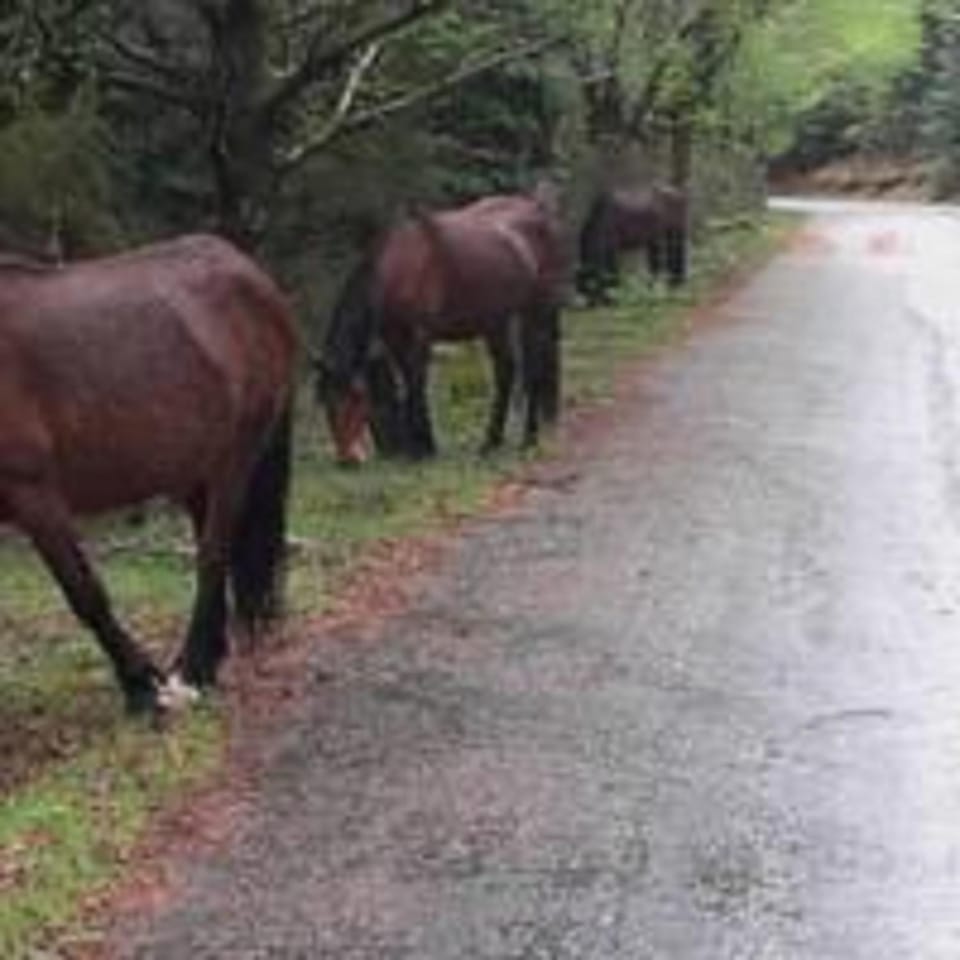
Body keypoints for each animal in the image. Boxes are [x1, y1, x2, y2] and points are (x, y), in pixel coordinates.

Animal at [0, 234, 298, 715]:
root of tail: (251, 274)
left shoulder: (34, 493)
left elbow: (86, 594)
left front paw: (140, 684)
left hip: (235, 460)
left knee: (212, 555)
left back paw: (194, 669)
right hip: (197, 472)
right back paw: (209, 658)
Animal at [315, 189, 566, 463]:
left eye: (356, 398)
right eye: (326, 403)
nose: (346, 460)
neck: (399, 267)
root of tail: (537, 207)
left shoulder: (420, 336)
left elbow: (416, 385)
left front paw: (421, 448)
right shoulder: (394, 338)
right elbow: (408, 384)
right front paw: (421, 445)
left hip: (536, 314)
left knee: (534, 372)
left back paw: (529, 439)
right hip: (495, 321)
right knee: (505, 372)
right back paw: (490, 443)